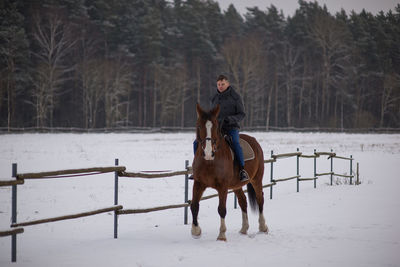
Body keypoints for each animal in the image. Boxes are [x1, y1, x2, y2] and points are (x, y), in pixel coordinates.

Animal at [191, 103, 268, 242]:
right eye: (199, 126)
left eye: (216, 126)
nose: (209, 153)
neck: (210, 162)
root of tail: (253, 140)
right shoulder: (198, 183)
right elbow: (194, 205)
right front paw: (196, 231)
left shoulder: (223, 187)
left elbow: (221, 209)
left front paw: (221, 235)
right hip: (236, 185)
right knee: (243, 201)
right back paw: (244, 229)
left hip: (256, 179)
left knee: (260, 199)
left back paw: (263, 227)